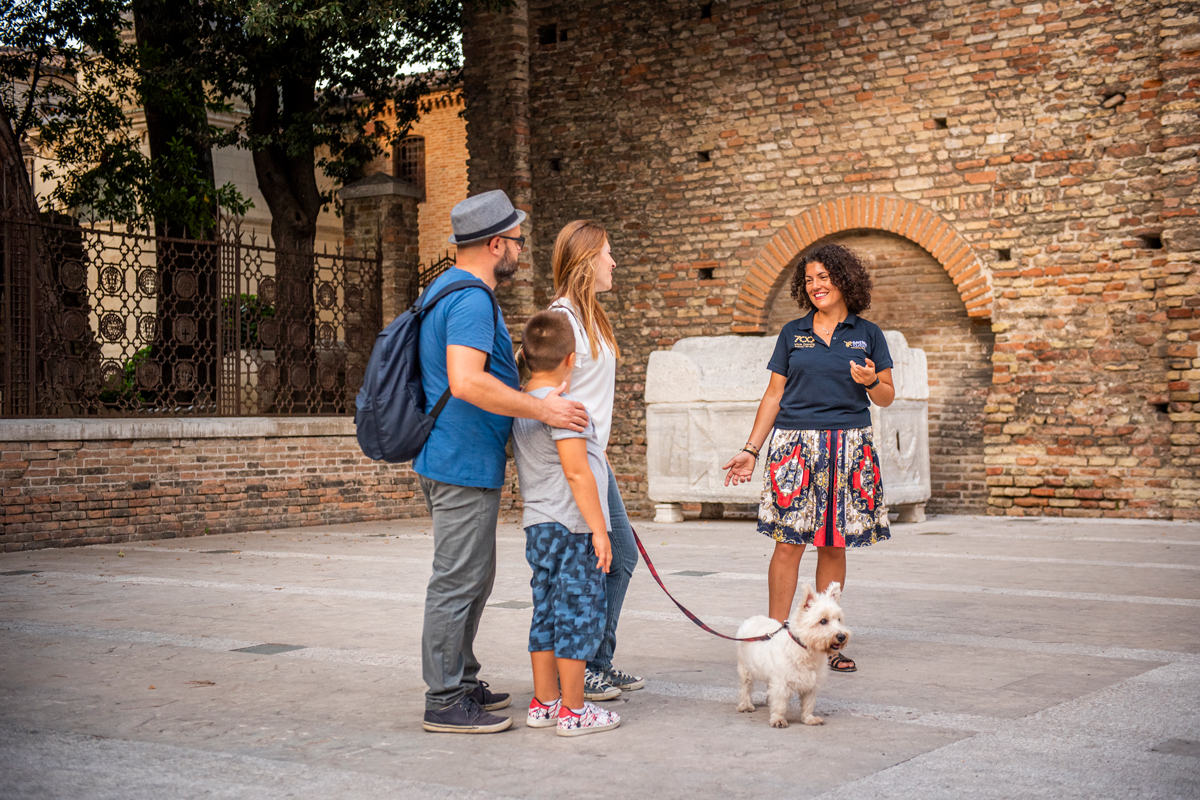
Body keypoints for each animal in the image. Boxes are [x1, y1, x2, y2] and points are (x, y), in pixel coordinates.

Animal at [734, 578, 849, 729]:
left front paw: (809, 719)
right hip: (744, 667)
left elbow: (808, 703)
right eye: (823, 621)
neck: (805, 650)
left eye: (839, 620)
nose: (842, 636)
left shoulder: (811, 685)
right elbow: (780, 703)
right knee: (745, 686)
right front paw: (778, 719)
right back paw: (745, 705)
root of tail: (752, 619)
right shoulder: (782, 682)